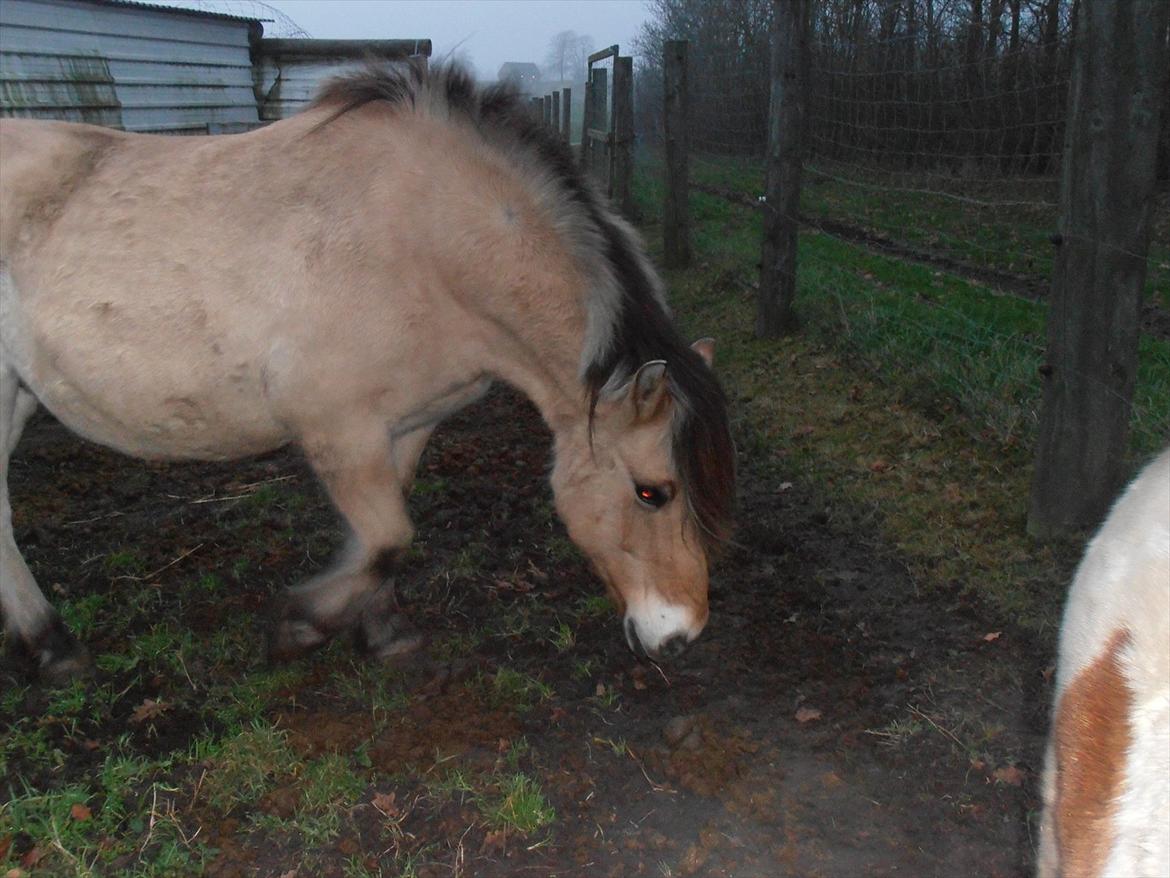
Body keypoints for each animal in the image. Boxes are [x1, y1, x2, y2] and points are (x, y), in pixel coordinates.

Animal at [0, 65, 730, 683]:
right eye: (652, 493)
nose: (683, 635)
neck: (425, 246)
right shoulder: (339, 432)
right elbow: (387, 539)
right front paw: (297, 627)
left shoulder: (405, 426)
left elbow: (385, 538)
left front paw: (380, 632)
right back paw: (53, 645)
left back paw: (48, 644)